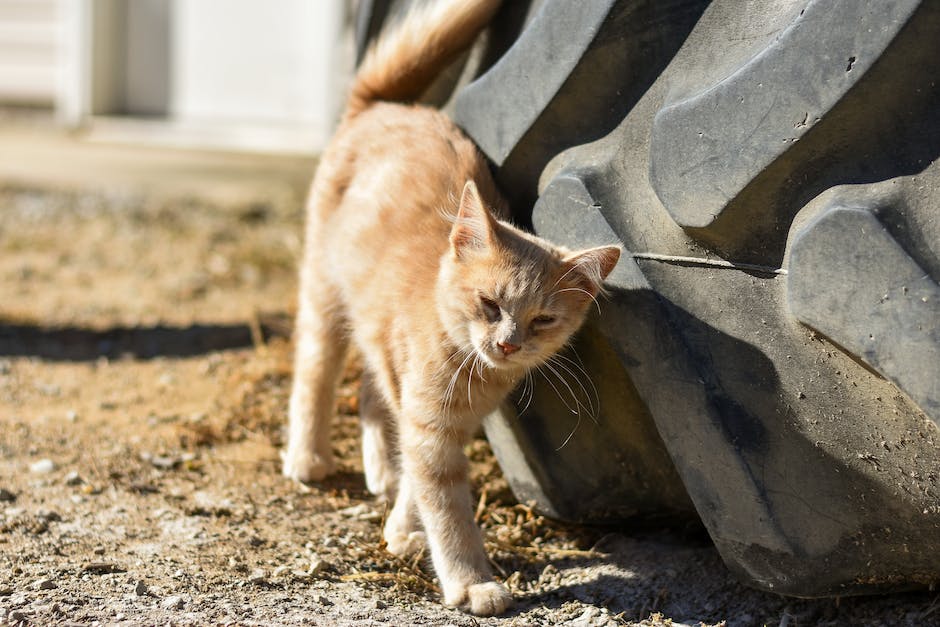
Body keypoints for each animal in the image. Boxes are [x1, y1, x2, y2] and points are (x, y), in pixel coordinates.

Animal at [282, 0, 620, 620]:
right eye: (490, 304)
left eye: (542, 320)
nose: (508, 343)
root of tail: (385, 105)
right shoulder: (432, 428)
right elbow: (447, 506)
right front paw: (469, 580)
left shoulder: (439, 423)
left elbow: (418, 473)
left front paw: (401, 526)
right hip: (324, 287)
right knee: (316, 370)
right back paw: (308, 455)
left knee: (371, 390)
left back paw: (381, 470)